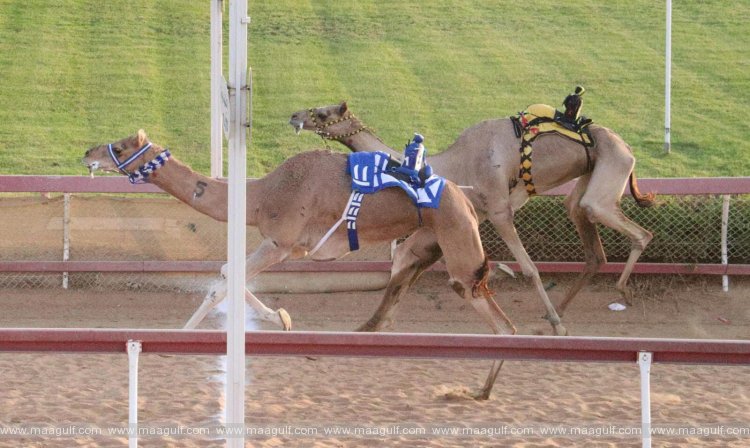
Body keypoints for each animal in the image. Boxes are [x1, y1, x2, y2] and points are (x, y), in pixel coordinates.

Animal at [82, 129, 516, 399]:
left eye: (121, 146)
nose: (88, 153)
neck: (259, 196)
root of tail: (468, 199)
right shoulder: (289, 248)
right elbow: (228, 274)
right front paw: (282, 318)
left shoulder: (281, 241)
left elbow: (224, 280)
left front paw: (179, 338)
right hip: (425, 244)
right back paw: (480, 389)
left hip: (458, 241)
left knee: (497, 318)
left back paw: (482, 387)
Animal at [290, 102, 655, 337]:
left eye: (322, 112)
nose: (294, 116)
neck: (453, 165)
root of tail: (626, 147)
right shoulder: (462, 218)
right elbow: (406, 264)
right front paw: (373, 325)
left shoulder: (498, 210)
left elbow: (529, 268)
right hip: (585, 183)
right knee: (592, 244)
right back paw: (561, 311)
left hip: (611, 169)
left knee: (633, 230)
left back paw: (612, 296)